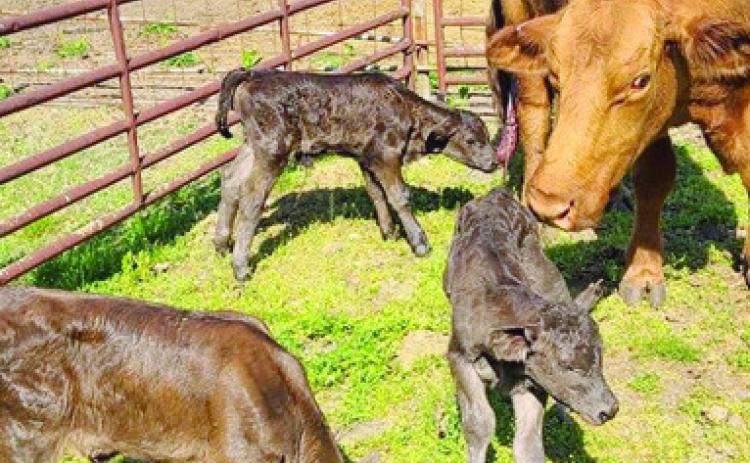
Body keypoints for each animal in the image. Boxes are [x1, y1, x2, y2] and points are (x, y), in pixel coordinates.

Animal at [214, 68, 498, 281]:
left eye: (486, 135)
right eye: (471, 140)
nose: (495, 161)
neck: (405, 110)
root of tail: (254, 74)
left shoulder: (368, 158)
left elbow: (377, 193)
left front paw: (389, 232)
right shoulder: (387, 156)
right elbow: (399, 196)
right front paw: (419, 243)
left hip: (252, 146)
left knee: (230, 181)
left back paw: (221, 244)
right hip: (272, 150)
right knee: (251, 196)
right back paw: (240, 267)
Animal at [444, 188, 618, 463]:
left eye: (600, 361)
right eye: (567, 365)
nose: (610, 409)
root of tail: (497, 194)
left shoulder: (532, 382)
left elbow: (528, 444)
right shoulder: (458, 355)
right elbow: (479, 423)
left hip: (548, 275)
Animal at [486, 0, 750, 307]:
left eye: (641, 81)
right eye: (554, 73)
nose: (548, 204)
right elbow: (653, 181)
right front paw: (643, 272)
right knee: (535, 116)